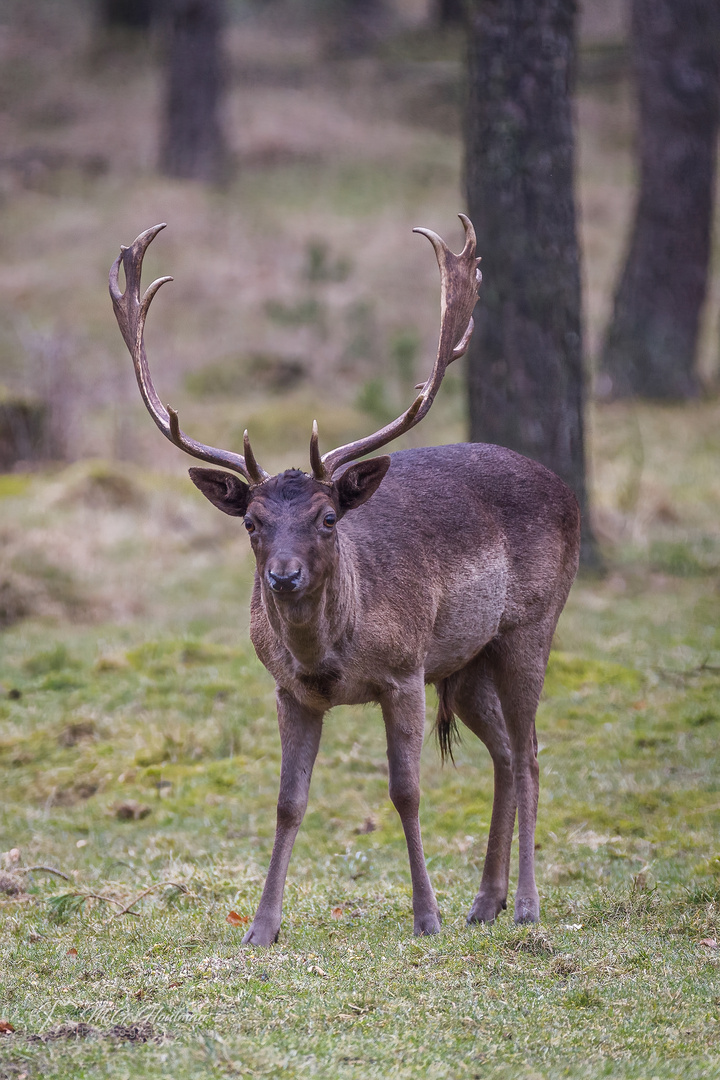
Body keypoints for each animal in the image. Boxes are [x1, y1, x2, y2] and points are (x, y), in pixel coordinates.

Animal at [110, 214, 578, 941]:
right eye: (252, 521)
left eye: (328, 516)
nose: (282, 576)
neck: (333, 655)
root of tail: (567, 492)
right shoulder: (290, 691)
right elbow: (287, 801)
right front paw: (262, 927)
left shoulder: (405, 671)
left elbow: (406, 791)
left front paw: (425, 917)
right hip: (465, 662)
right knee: (503, 753)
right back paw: (486, 901)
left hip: (531, 624)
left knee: (529, 751)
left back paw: (525, 904)